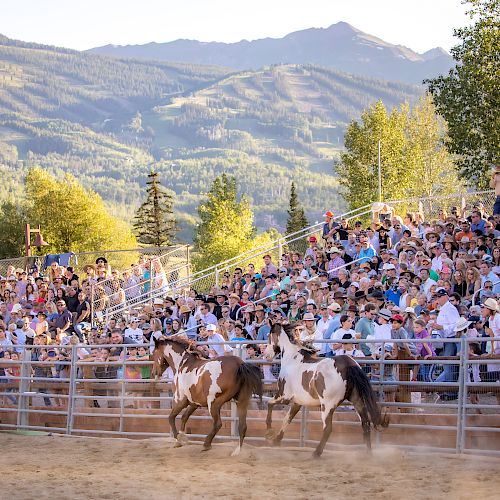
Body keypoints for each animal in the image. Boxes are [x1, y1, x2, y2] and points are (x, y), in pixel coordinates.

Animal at [264, 320, 388, 458]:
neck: (293, 359)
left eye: (270, 335)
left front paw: (269, 432)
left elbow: (269, 404)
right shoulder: (297, 402)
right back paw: (368, 454)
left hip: (327, 406)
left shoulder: (283, 396)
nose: (266, 354)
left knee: (328, 429)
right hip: (358, 401)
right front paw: (276, 440)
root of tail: (349, 364)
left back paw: (316, 453)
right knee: (365, 424)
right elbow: (287, 419)